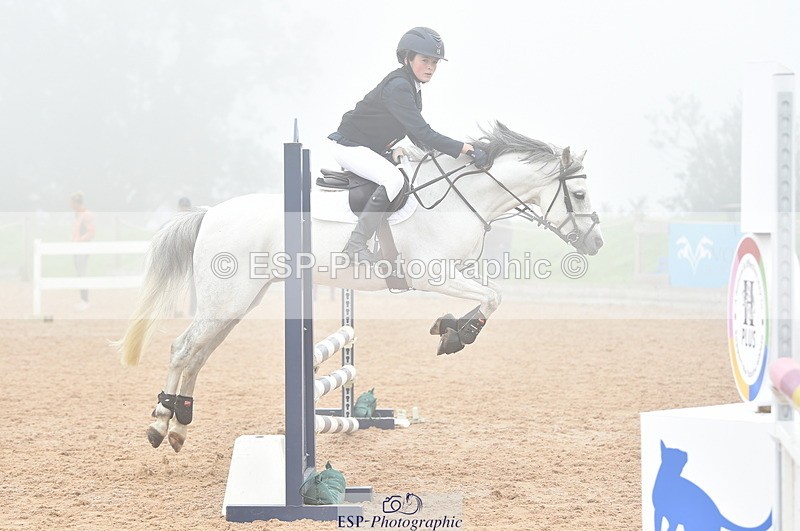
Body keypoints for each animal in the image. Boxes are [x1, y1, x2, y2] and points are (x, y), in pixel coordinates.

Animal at [114, 121, 604, 452]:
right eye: (579, 195)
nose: (596, 244)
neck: (460, 200)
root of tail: (210, 213)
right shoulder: (434, 274)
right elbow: (492, 297)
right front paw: (456, 337)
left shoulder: (455, 273)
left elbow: (490, 295)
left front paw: (448, 328)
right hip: (226, 298)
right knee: (182, 348)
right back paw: (160, 422)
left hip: (238, 303)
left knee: (198, 353)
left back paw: (178, 424)